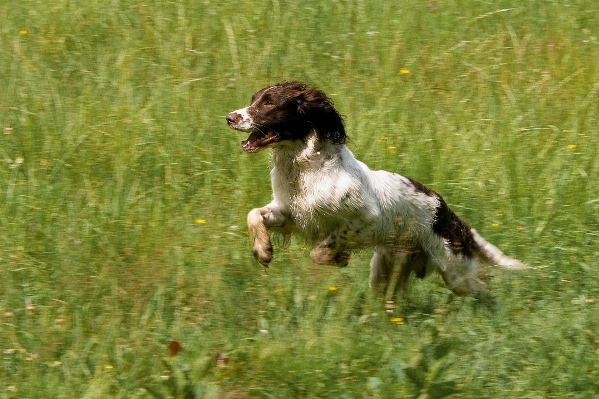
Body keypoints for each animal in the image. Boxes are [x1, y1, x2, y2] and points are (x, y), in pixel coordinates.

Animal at [226, 83, 524, 298]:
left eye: (269, 103)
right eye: (254, 98)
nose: (229, 117)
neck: (303, 169)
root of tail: (447, 212)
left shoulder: (365, 217)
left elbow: (320, 251)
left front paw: (339, 258)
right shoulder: (289, 213)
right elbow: (254, 214)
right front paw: (263, 251)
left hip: (455, 270)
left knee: (484, 289)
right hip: (387, 266)